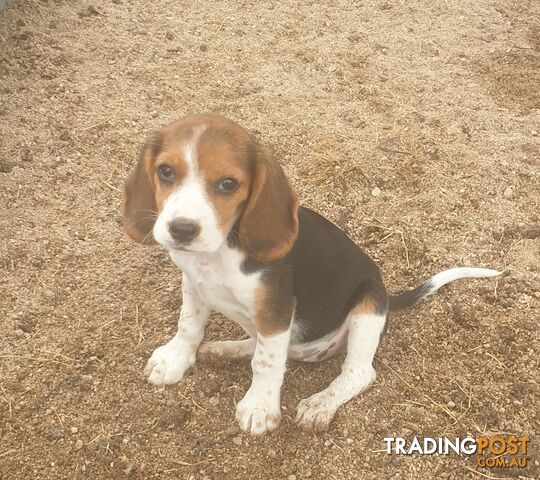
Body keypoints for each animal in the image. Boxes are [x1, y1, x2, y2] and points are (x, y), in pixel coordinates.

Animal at [122, 113, 498, 436]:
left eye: (228, 184)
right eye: (166, 172)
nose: (182, 229)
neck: (219, 253)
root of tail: (388, 296)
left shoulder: (276, 309)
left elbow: (266, 363)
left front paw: (259, 406)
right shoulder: (194, 283)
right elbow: (189, 324)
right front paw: (174, 358)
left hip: (368, 305)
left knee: (358, 372)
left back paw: (321, 404)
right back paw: (227, 349)